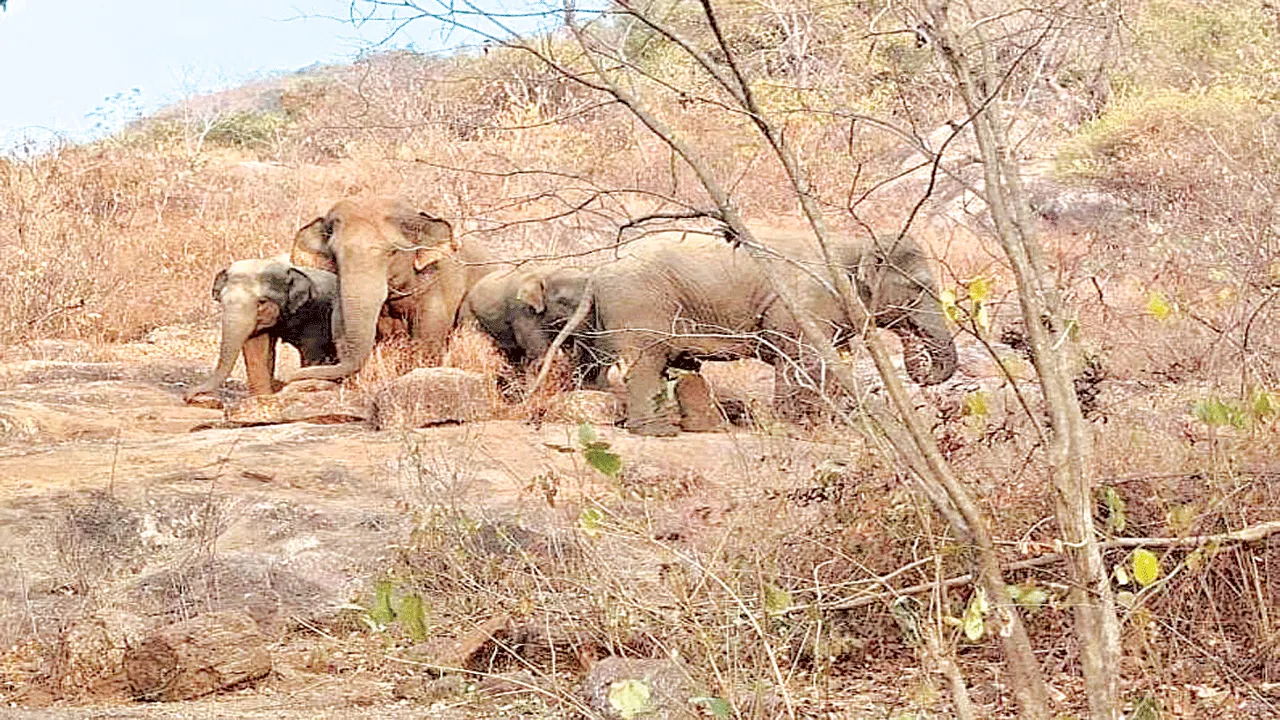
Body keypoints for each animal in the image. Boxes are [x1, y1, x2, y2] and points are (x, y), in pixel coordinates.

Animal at [185, 257, 339, 399]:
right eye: (222, 300)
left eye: (262, 301)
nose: (188, 396)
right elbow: (256, 347)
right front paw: (261, 397)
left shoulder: (317, 313)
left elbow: (313, 353)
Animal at [288, 197, 494, 382]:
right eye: (334, 254)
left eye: (392, 252)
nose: (288, 378)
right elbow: (337, 322)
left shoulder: (442, 280)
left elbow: (427, 338)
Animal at [552, 228, 958, 436]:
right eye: (920, 287)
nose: (919, 362)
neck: (850, 242)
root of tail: (598, 269)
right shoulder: (802, 302)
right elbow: (802, 359)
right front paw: (799, 429)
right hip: (640, 305)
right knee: (647, 363)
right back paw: (657, 433)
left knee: (678, 365)